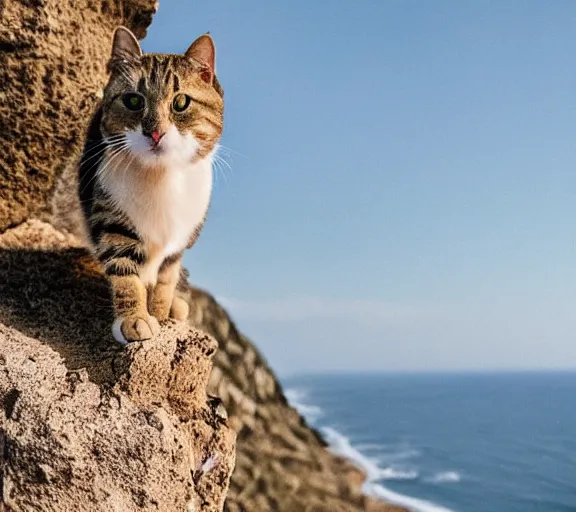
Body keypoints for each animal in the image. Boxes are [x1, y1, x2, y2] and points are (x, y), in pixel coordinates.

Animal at [80, 26, 224, 342]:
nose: (155, 132)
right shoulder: (113, 221)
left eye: (181, 103)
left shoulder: (179, 240)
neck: (161, 177)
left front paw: (160, 311)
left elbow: (166, 280)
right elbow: (125, 274)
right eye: (134, 101)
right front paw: (134, 319)